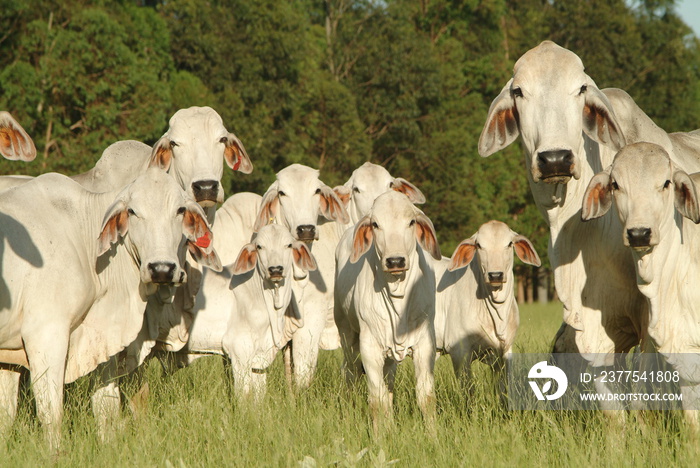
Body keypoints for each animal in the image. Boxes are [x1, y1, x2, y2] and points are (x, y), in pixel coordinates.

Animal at [334, 190, 442, 428]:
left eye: (411, 222)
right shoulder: (369, 348)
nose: (395, 261)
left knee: (389, 383)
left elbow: (426, 398)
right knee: (350, 375)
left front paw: (433, 435)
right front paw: (379, 435)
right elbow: (377, 401)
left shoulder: (425, 344)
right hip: (347, 334)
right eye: (375, 224)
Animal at [434, 221, 540, 394]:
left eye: (509, 244)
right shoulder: (459, 352)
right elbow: (468, 392)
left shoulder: (504, 352)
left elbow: (504, 390)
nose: (495, 275)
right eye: (479, 245)